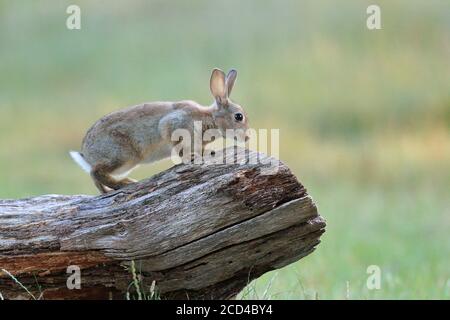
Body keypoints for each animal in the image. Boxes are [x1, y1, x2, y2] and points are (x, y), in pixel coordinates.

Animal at [70, 67, 250, 192]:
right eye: (238, 116)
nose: (247, 137)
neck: (210, 118)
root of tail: (87, 153)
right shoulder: (174, 125)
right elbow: (178, 146)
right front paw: (191, 157)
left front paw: (207, 152)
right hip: (123, 155)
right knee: (95, 172)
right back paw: (123, 184)